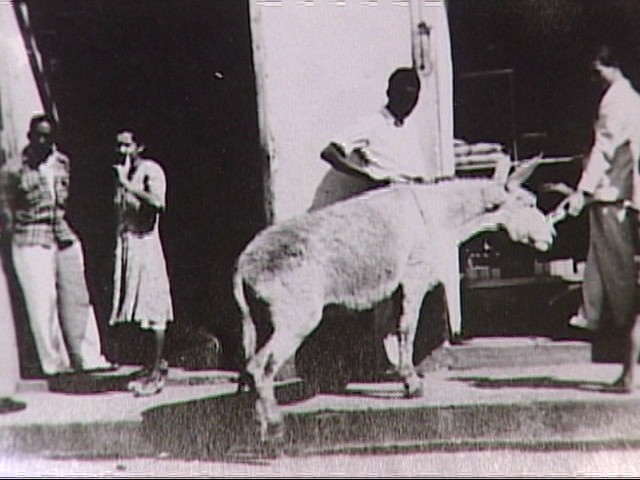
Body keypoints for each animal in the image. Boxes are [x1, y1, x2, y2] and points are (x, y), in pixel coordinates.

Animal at [233, 159, 556, 446]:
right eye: (528, 203)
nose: (551, 238)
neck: (436, 214)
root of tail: (243, 265)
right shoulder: (414, 276)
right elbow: (407, 328)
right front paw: (413, 384)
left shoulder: (391, 290)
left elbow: (388, 332)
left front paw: (399, 376)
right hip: (297, 317)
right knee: (261, 367)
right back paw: (275, 427)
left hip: (260, 321)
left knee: (249, 367)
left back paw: (258, 423)